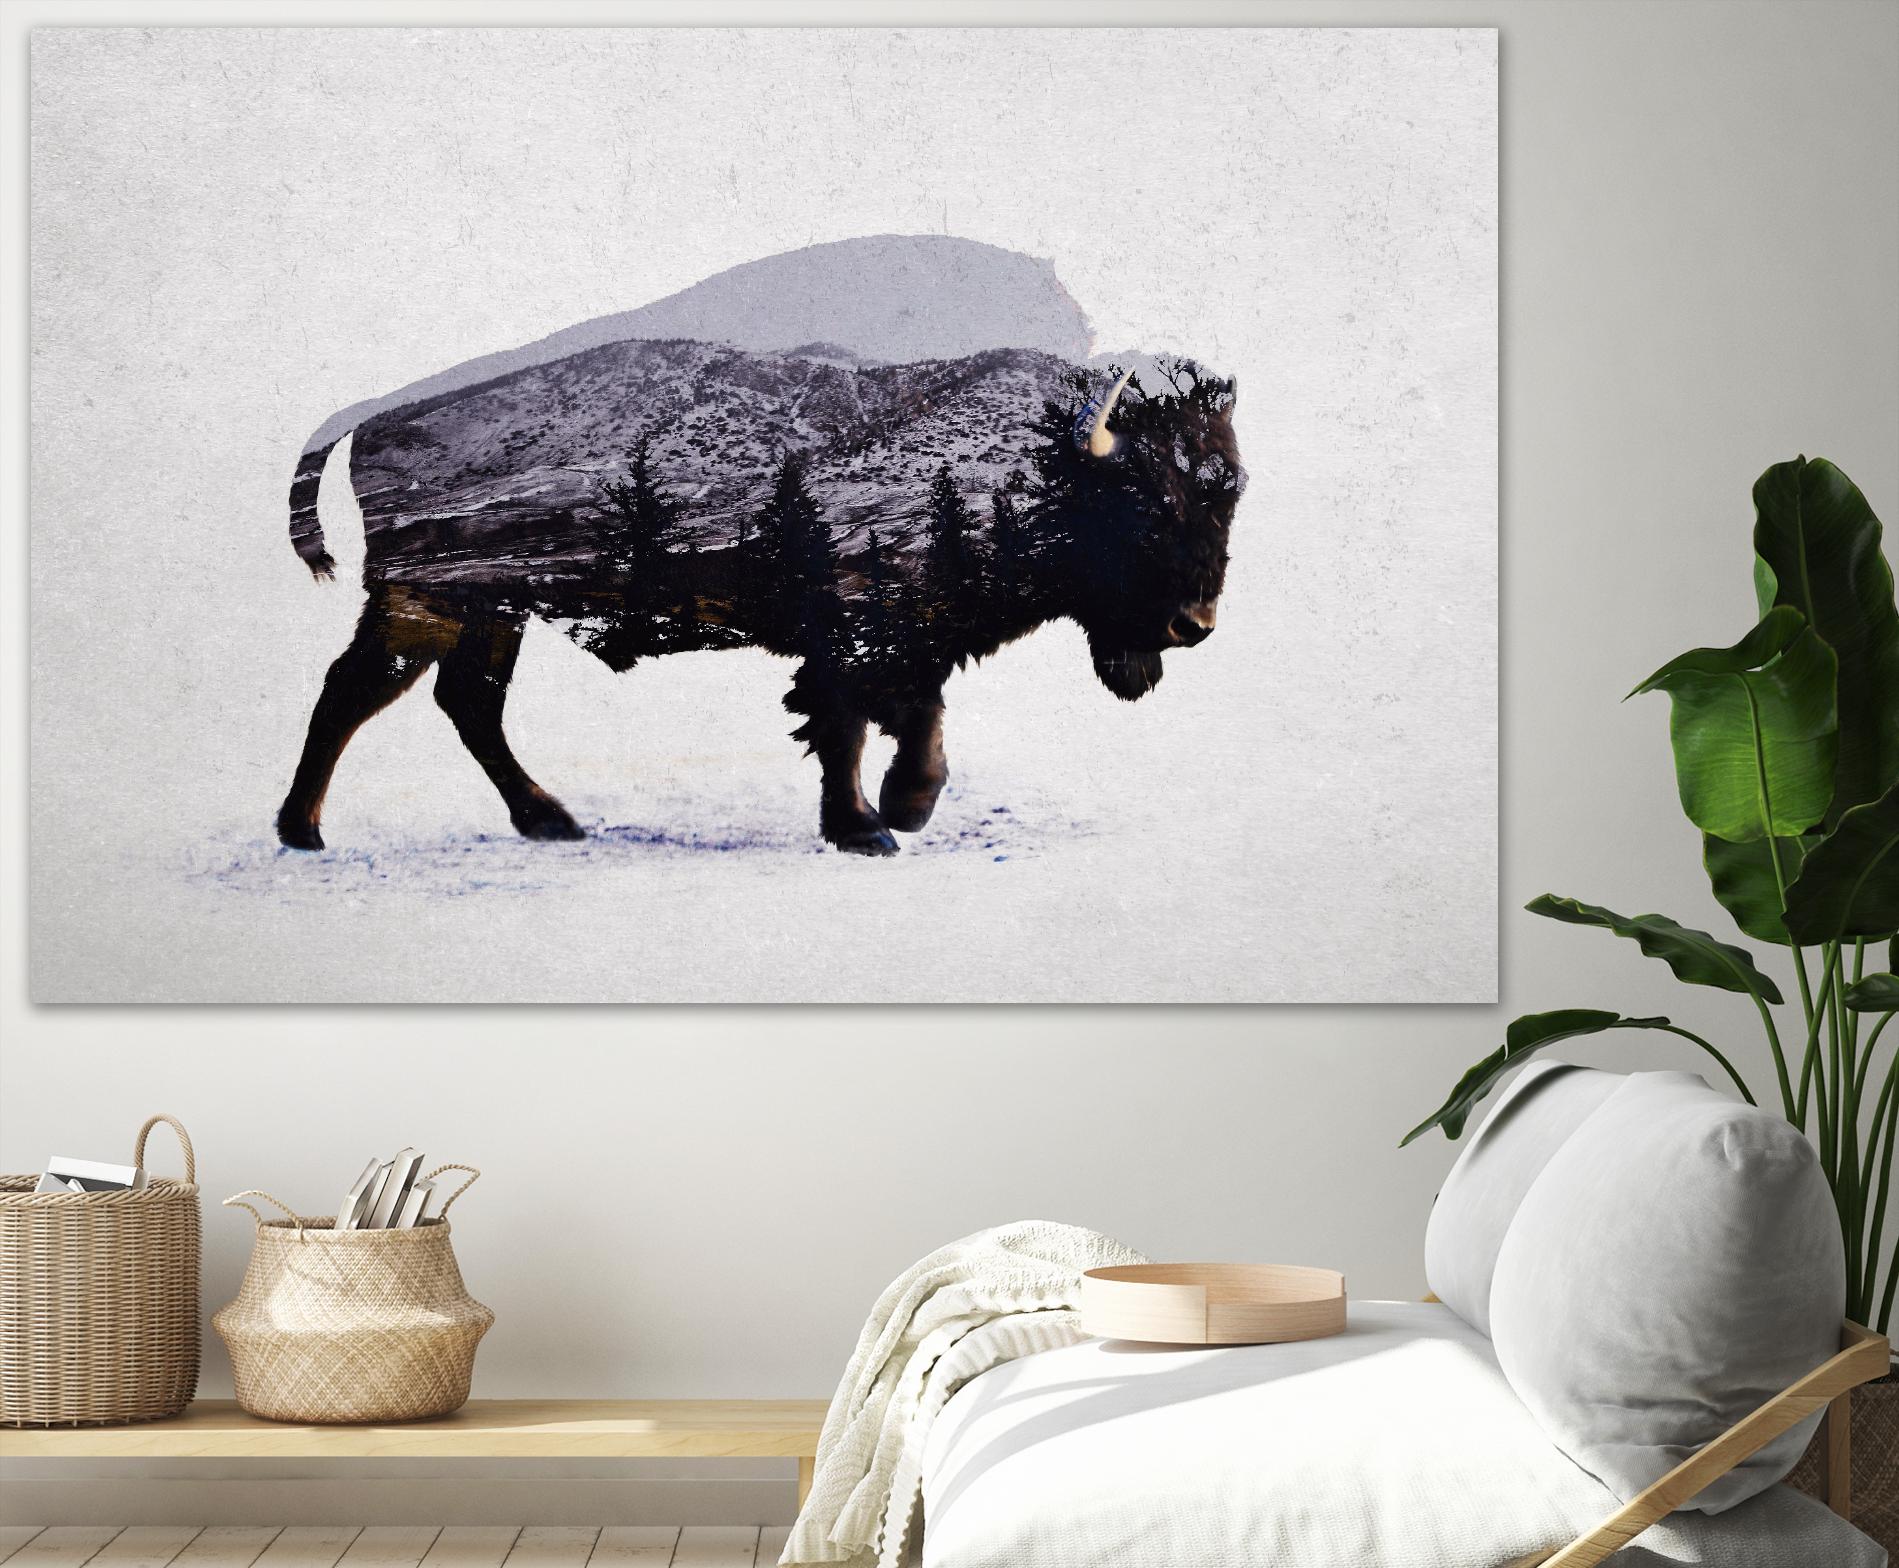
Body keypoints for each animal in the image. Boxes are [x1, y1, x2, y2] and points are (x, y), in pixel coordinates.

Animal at [279, 336, 1243, 855]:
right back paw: (304, 832)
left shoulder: (909, 642)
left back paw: (550, 821)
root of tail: (373, 414)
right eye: (1147, 502)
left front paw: (905, 808)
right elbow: (848, 723)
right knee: (356, 691)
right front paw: (868, 827)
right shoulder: (857, 632)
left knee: (466, 702)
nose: (1191, 625)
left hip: (491, 610)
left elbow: (916, 722)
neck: (1037, 457)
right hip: (424, 603)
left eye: (1229, 491)